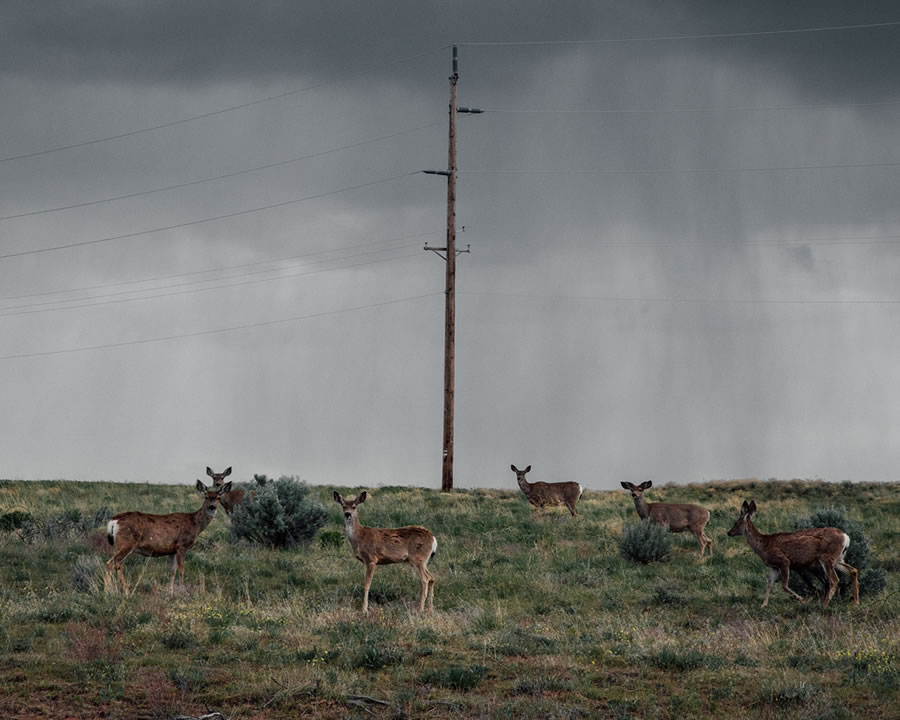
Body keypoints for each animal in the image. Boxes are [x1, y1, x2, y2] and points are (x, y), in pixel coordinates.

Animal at [724, 500, 856, 608]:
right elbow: (769, 584)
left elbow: (784, 585)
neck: (763, 546)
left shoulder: (784, 561)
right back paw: (856, 602)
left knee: (834, 580)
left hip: (827, 557)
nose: (729, 532)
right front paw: (763, 605)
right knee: (853, 570)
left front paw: (803, 599)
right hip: (838, 559)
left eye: (736, 522)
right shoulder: (774, 567)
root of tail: (846, 537)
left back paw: (824, 604)